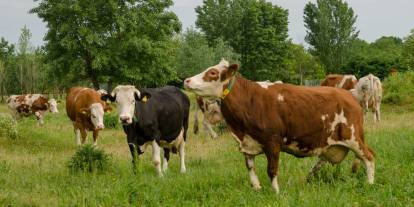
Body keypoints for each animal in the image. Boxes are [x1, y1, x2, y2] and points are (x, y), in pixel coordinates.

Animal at [184, 58, 376, 192]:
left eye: (212, 73)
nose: (186, 80)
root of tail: (349, 94)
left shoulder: (273, 141)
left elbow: (272, 169)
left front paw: (276, 192)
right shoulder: (248, 143)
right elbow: (250, 168)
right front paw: (257, 188)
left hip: (353, 137)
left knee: (369, 156)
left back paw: (369, 183)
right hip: (330, 141)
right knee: (324, 159)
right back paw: (309, 177)